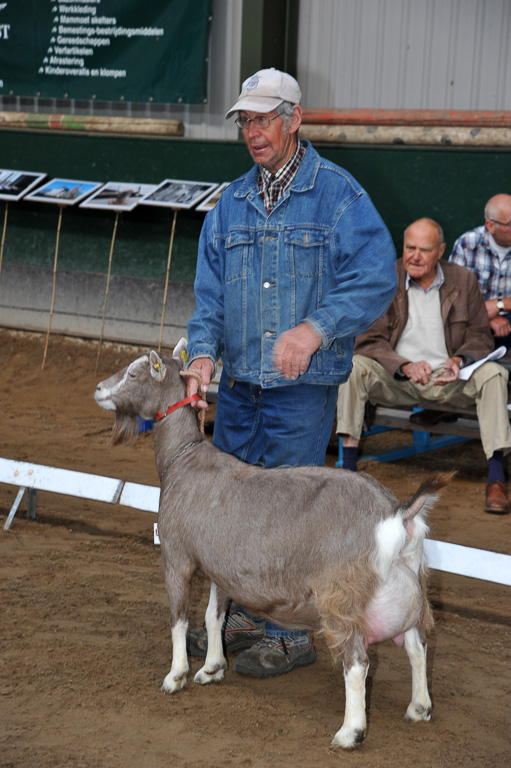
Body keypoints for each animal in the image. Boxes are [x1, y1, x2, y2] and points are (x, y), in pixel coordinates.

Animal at [94, 352, 450, 748]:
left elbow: (178, 619)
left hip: (341, 596)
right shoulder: (220, 566)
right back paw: (419, 707)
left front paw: (176, 676)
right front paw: (212, 668)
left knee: (357, 662)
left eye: (134, 373)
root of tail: (397, 511)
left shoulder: (177, 556)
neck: (184, 461)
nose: (98, 389)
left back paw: (350, 732)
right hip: (412, 584)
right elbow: (213, 616)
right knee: (418, 646)